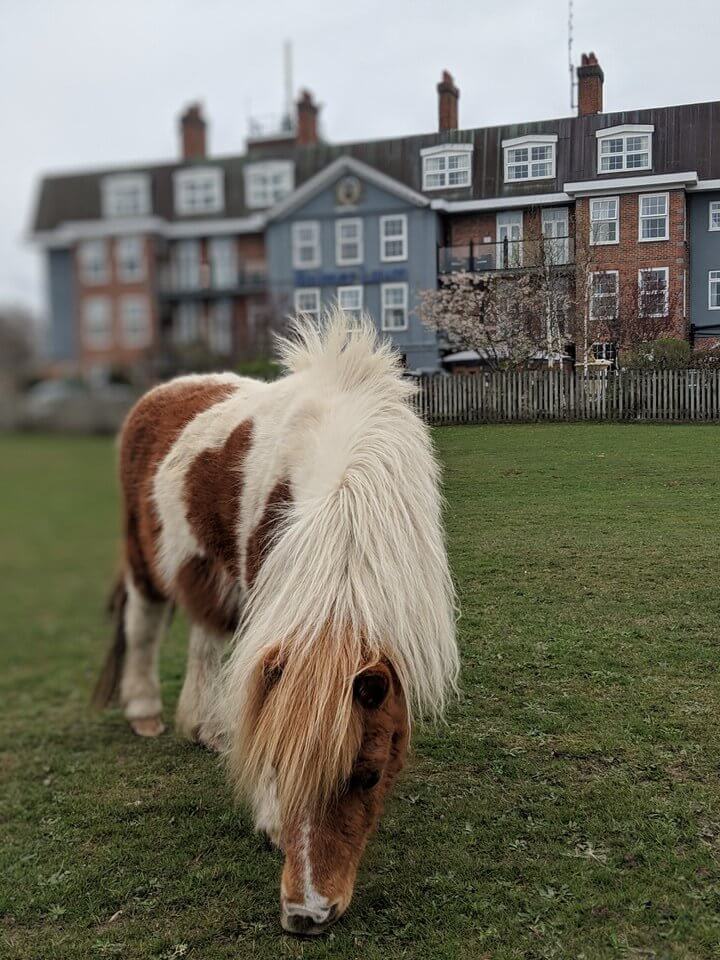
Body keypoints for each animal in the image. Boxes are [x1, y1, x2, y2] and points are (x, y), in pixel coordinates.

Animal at [92, 310, 458, 935]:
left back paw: (208, 729)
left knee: (206, 641)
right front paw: (267, 814)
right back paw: (145, 713)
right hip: (147, 559)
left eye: (368, 775)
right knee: (144, 627)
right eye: (279, 765)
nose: (306, 914)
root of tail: (160, 393)